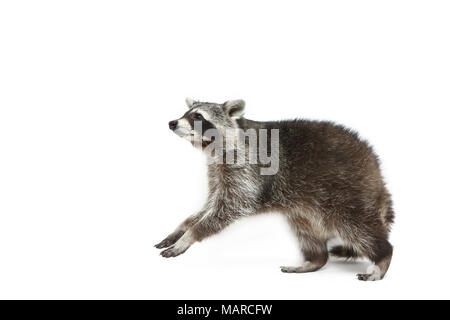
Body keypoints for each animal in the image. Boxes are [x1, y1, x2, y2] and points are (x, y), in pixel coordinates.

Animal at [156, 99, 396, 282]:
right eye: (186, 113)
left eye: (198, 116)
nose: (172, 123)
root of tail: (376, 169)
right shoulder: (218, 171)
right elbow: (209, 204)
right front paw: (183, 227)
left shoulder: (247, 168)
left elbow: (233, 205)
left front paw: (190, 234)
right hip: (306, 206)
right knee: (306, 230)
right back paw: (315, 260)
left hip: (348, 192)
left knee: (358, 228)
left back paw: (382, 256)